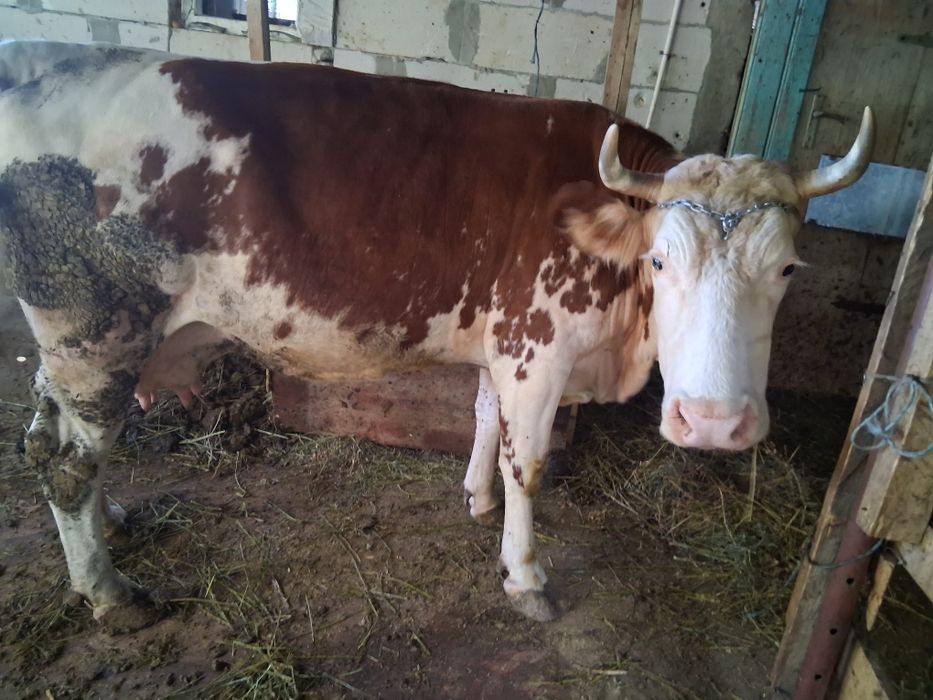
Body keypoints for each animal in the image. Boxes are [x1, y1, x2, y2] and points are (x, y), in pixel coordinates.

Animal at [0, 40, 874, 629]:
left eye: (788, 267)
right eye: (659, 260)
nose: (717, 424)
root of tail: (40, 53)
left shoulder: (502, 345)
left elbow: (484, 418)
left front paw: (475, 497)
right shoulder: (536, 344)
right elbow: (530, 461)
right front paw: (524, 576)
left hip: (79, 345)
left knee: (46, 433)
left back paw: (112, 524)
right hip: (95, 332)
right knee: (67, 461)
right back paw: (110, 593)